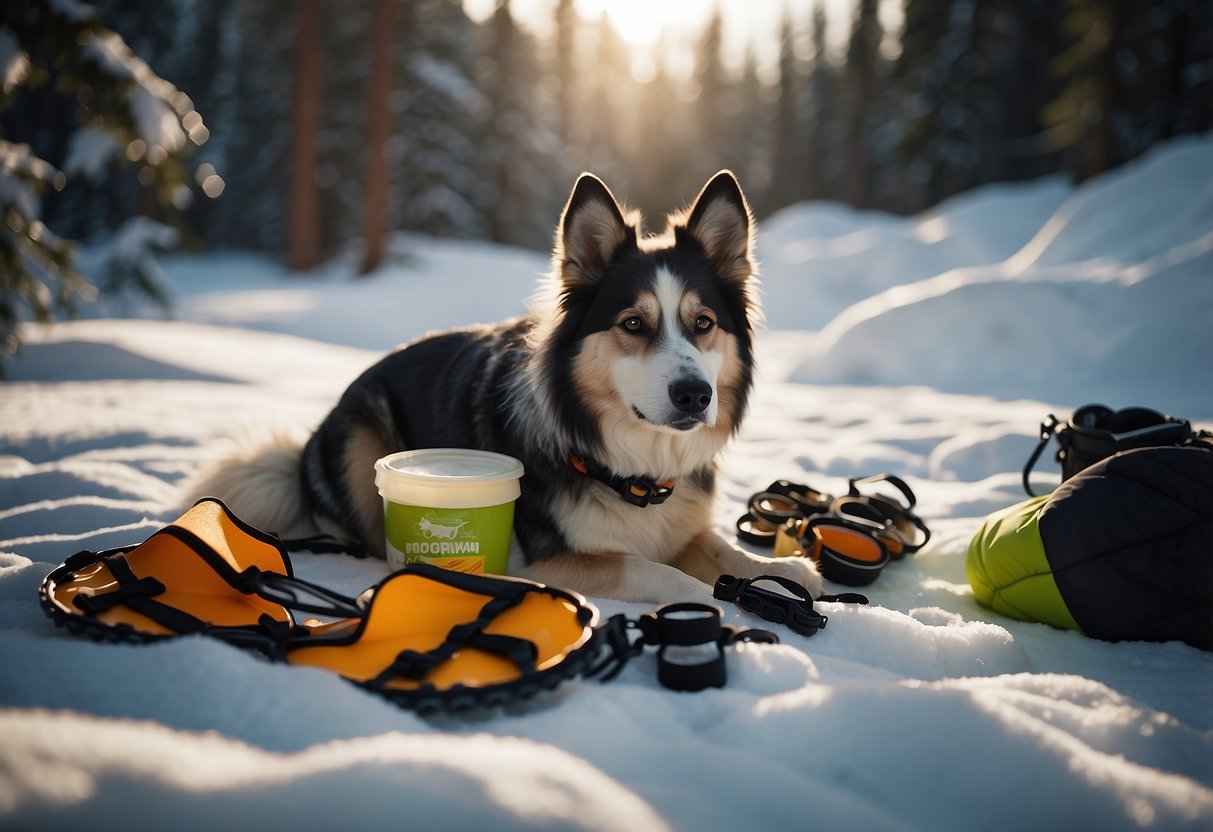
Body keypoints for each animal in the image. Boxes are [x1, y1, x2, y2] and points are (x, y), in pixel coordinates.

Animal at [186, 171, 824, 599]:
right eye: (633, 324)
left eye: (703, 323)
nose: (695, 395)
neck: (633, 469)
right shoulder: (538, 562)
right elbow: (648, 567)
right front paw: (717, 598)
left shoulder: (683, 523)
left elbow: (715, 547)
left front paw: (783, 572)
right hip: (360, 437)